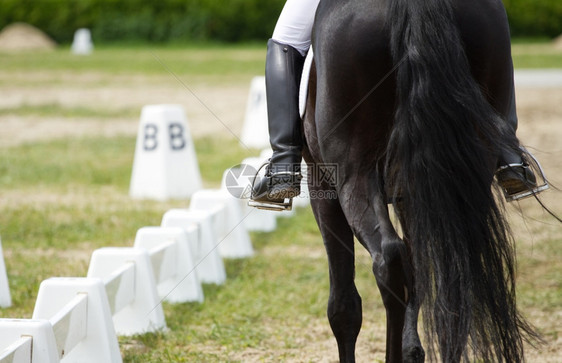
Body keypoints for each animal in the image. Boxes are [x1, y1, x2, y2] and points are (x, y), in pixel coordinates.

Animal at [302, 0, 540, 362]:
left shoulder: (323, 187)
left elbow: (343, 305)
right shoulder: (411, 193)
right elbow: (419, 276)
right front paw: (412, 348)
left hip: (352, 176)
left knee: (388, 259)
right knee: (453, 271)